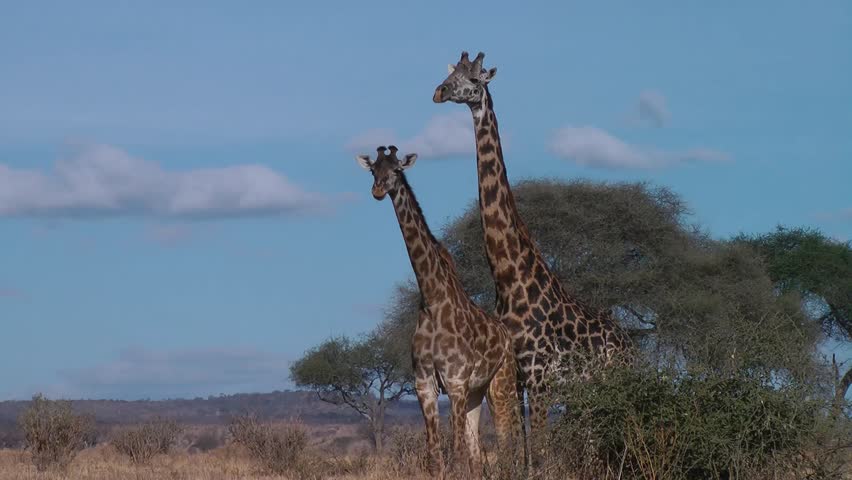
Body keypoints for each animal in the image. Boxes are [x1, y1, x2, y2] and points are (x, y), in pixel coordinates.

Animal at [356, 145, 521, 478]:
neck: (433, 301)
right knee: (476, 452)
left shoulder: (455, 382)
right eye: (373, 170)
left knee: (505, 443)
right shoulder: (425, 384)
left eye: (396, 170)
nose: (378, 190)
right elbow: (435, 456)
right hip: (475, 392)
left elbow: (455, 456)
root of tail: (505, 334)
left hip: (501, 383)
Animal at [433, 52, 632, 460]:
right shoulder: (514, 375)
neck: (510, 277)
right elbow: (520, 449)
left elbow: (538, 452)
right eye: (451, 73)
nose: (440, 91)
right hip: (588, 393)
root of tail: (631, 347)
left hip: (613, 384)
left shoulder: (539, 375)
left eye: (473, 79)